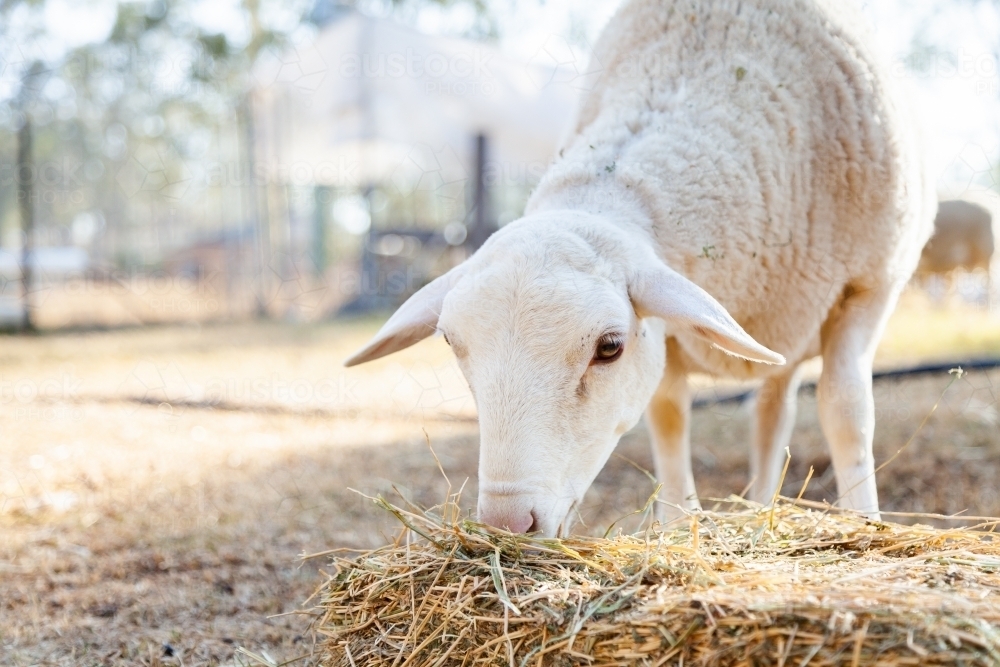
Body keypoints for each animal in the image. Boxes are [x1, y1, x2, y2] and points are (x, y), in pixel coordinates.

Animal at [346, 0, 936, 536]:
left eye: (609, 347)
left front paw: (865, 521)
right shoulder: (664, 335)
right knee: (770, 413)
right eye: (450, 342)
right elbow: (668, 416)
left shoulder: (869, 288)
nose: (508, 522)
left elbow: (846, 411)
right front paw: (678, 523)